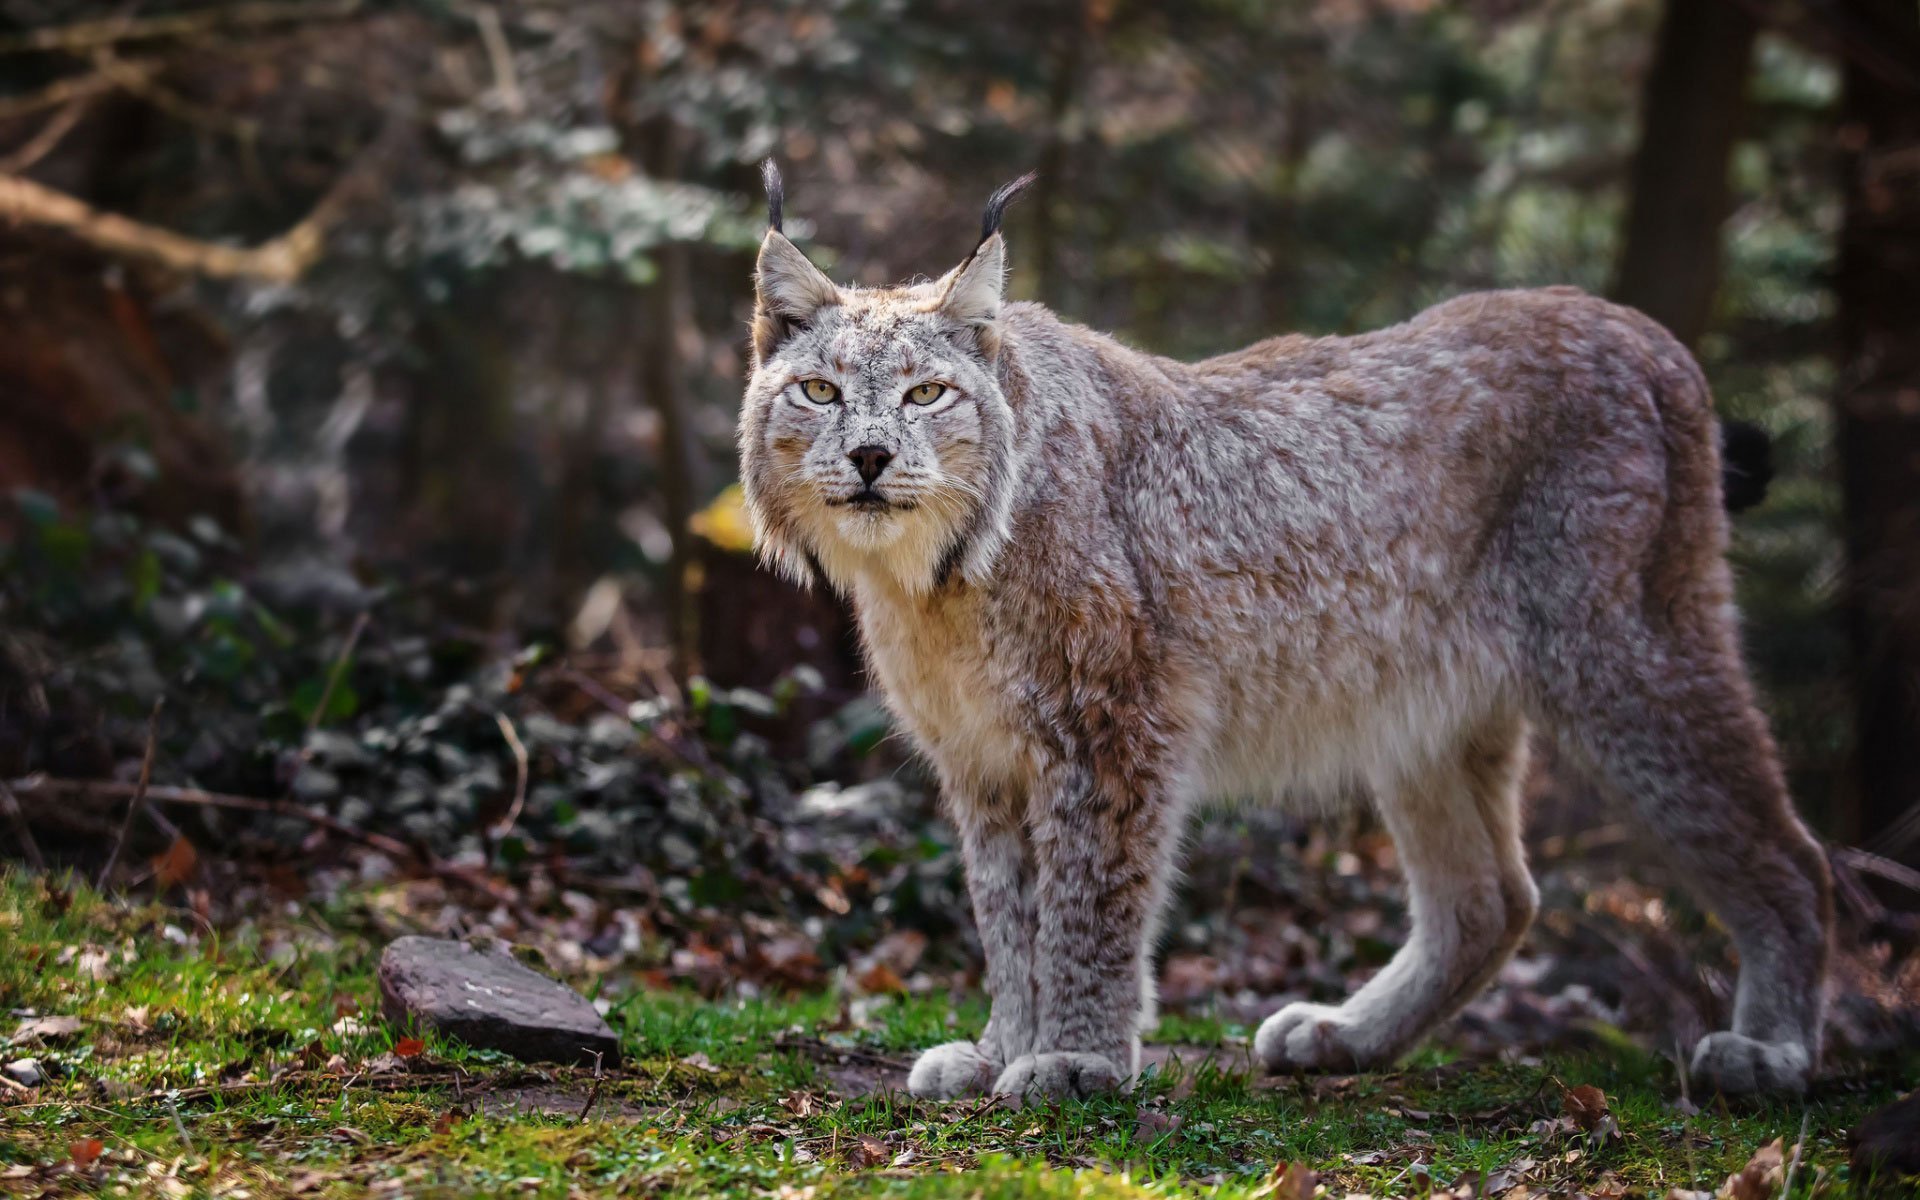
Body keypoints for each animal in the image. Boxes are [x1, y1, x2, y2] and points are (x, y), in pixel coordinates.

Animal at [729, 164, 1827, 1098]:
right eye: (821, 390)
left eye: (927, 394)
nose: (871, 458)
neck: (936, 580)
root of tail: (1649, 336)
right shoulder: (983, 757)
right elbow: (1007, 912)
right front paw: (1006, 1047)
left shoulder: (1113, 725)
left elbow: (1088, 900)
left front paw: (1079, 1059)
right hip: (1418, 700)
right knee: (1494, 899)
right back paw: (1350, 1037)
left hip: (1622, 650)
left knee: (1794, 851)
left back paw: (1772, 1050)